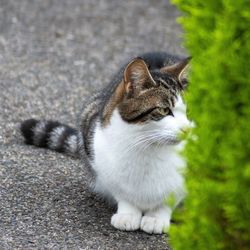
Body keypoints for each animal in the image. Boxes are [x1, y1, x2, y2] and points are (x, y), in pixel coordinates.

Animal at [20, 51, 191, 234]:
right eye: (164, 110)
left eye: (189, 112)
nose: (187, 129)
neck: (148, 147)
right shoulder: (100, 157)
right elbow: (123, 194)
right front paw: (128, 214)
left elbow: (169, 199)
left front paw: (156, 217)